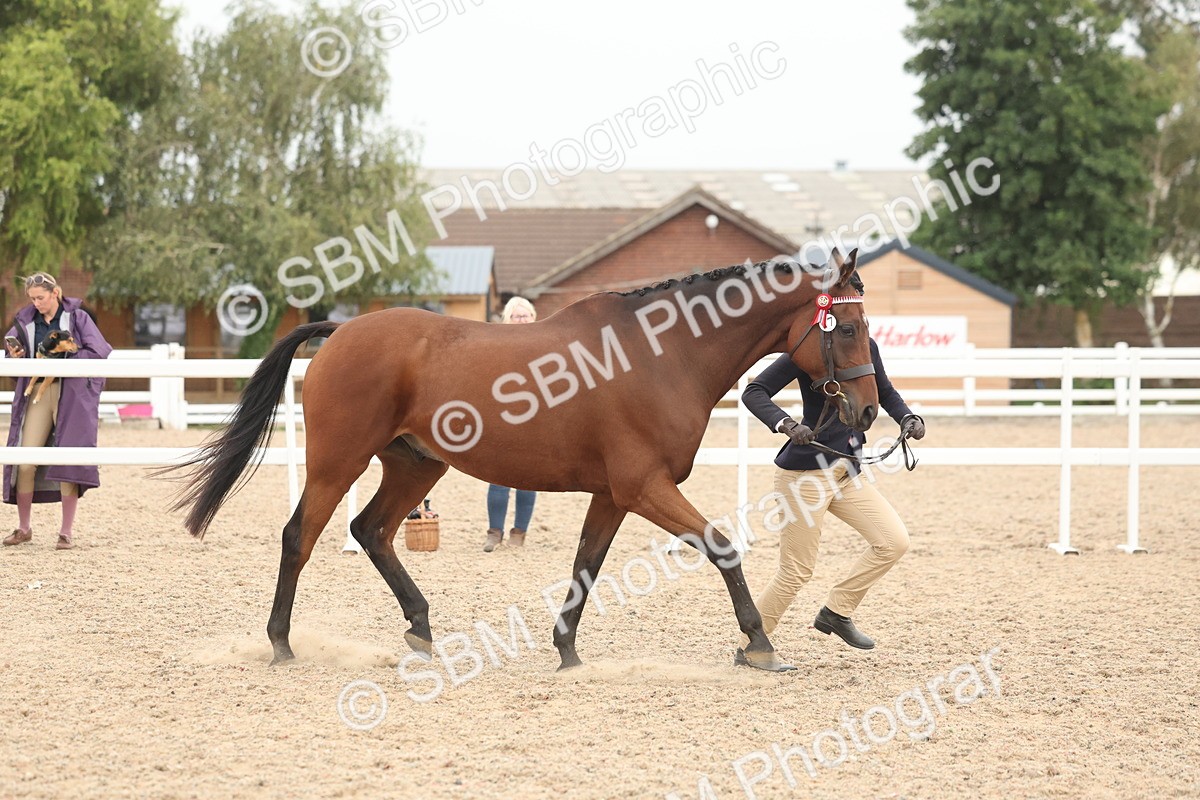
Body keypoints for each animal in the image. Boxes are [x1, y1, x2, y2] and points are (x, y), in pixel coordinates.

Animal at [166, 248, 879, 672]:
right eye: (846, 328)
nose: (869, 412)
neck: (662, 354)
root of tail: (340, 331)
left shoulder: (614, 494)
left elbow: (587, 565)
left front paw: (566, 650)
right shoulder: (643, 486)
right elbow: (722, 548)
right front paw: (759, 644)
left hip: (417, 465)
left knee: (371, 530)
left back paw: (420, 629)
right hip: (337, 463)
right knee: (301, 536)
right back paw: (281, 642)